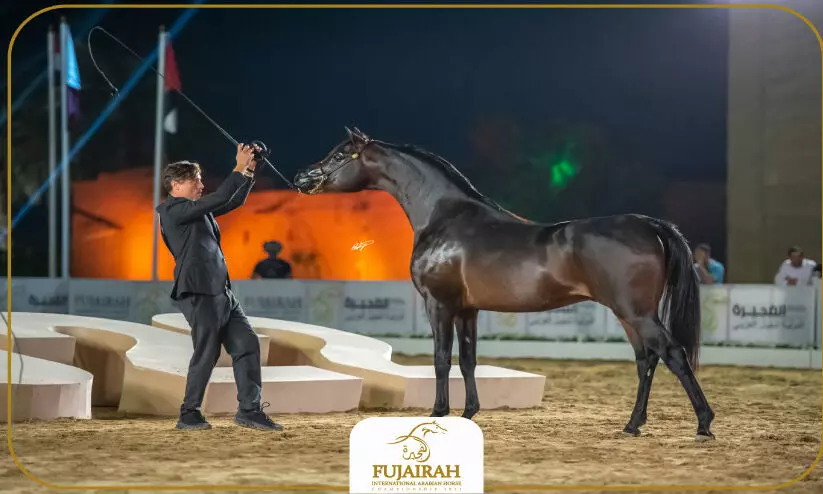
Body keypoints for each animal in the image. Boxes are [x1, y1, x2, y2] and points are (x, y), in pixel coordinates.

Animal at [293, 127, 715, 441]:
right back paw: (632, 424)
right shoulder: (468, 309)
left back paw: (704, 423)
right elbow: (468, 360)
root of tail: (647, 224)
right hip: (628, 315)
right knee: (647, 360)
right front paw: (469, 412)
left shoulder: (439, 304)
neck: (445, 217)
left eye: (339, 155)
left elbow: (441, 359)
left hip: (637, 312)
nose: (301, 178)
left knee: (672, 354)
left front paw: (439, 412)